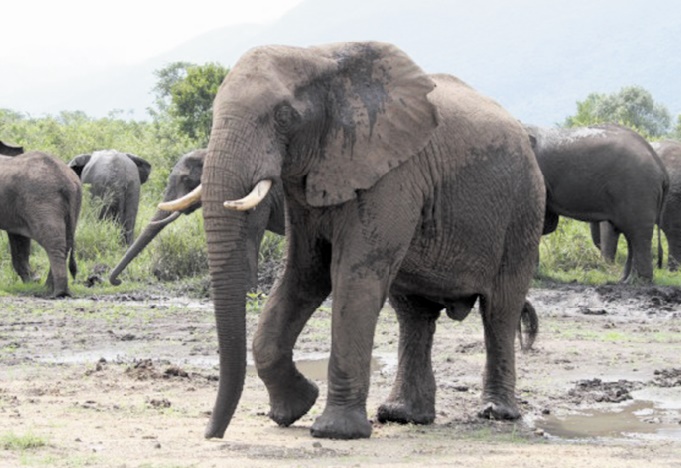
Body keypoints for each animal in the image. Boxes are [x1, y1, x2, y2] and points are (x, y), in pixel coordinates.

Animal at [0, 150, 81, 296]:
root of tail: (67, 181)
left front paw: (32, 281)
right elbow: (18, 239)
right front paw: (32, 282)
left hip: (43, 199)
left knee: (53, 242)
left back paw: (58, 292)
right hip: (73, 203)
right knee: (66, 242)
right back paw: (49, 289)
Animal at [162, 42, 544, 440]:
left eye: (284, 117)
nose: (212, 434)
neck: (320, 57)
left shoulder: (391, 171)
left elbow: (352, 276)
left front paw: (334, 431)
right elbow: (304, 275)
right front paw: (294, 409)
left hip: (524, 211)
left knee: (500, 310)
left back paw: (496, 412)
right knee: (414, 314)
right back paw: (402, 415)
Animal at [524, 124, 668, 284]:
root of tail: (661, 168)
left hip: (638, 188)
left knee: (638, 232)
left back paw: (638, 281)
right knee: (631, 234)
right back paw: (625, 280)